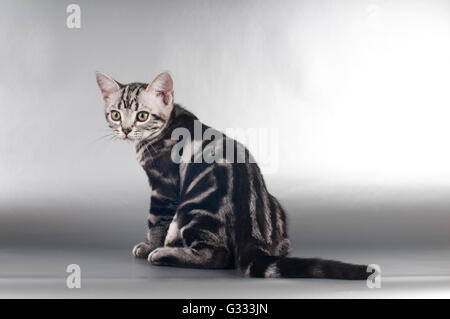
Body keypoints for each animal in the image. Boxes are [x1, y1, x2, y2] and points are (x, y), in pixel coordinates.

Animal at [95, 70, 370, 280]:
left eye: (142, 116)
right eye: (116, 114)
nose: (126, 130)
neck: (167, 125)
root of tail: (254, 238)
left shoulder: (163, 186)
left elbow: (156, 222)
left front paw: (150, 245)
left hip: (193, 209)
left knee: (217, 256)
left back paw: (164, 254)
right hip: (274, 205)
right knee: (281, 246)